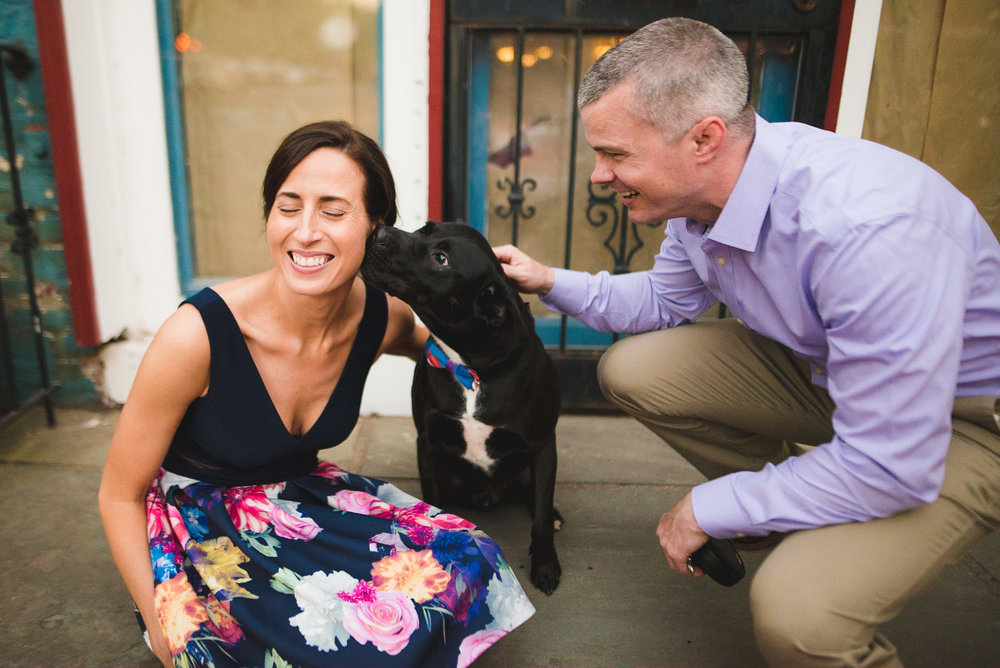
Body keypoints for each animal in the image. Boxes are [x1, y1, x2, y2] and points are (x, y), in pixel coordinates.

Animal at [362, 222, 564, 592]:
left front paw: (545, 565)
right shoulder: (428, 443)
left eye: (441, 259)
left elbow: (541, 515)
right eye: (423, 228)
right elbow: (433, 503)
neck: (471, 366)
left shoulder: (542, 445)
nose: (379, 230)